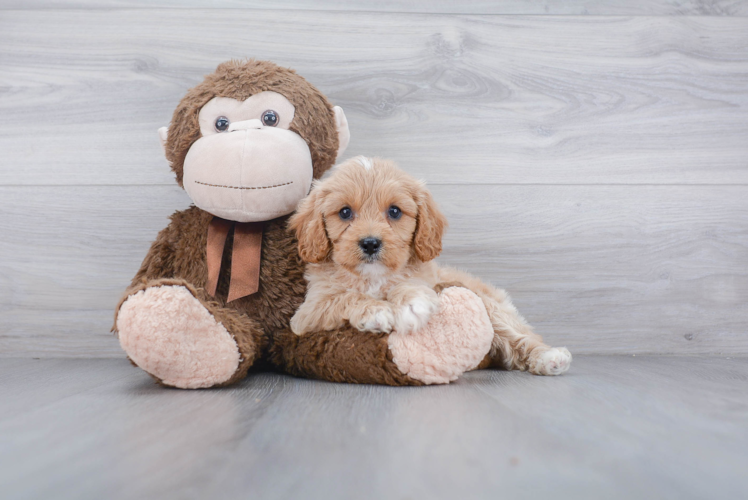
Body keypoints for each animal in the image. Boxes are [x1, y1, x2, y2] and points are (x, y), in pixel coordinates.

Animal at [290, 156, 568, 376]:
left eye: (394, 211)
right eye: (345, 212)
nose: (370, 243)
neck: (373, 277)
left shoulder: (424, 278)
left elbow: (408, 287)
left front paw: (412, 303)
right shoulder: (307, 313)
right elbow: (345, 298)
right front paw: (376, 311)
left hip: (489, 304)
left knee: (520, 337)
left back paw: (548, 357)